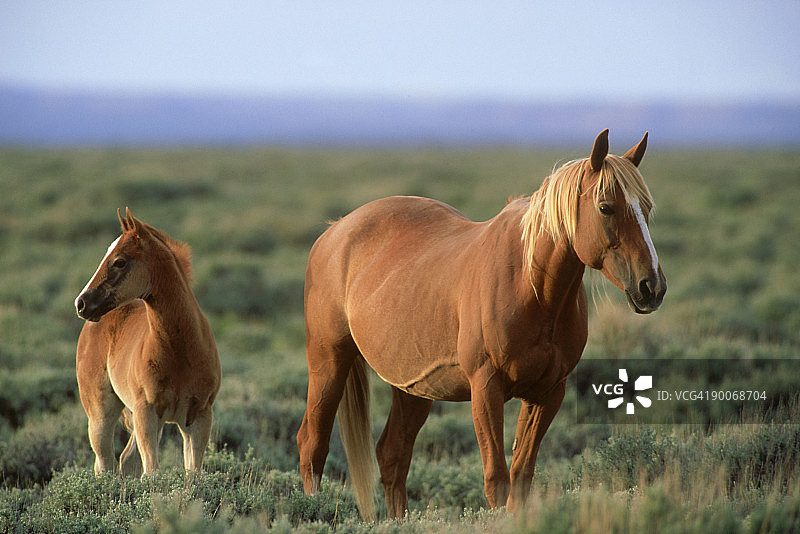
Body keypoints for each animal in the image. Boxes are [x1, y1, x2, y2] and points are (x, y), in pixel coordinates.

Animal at [74, 208, 221, 477]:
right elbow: (152, 473)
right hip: (101, 414)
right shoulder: (147, 412)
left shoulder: (199, 417)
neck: (180, 352)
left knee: (126, 460)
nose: (81, 303)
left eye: (119, 261)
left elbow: (193, 473)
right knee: (106, 464)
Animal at [297, 129, 666, 520]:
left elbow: (521, 476)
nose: (652, 287)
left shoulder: (548, 392)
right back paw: (311, 509)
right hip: (328, 362)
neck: (532, 286)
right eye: (605, 207)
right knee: (313, 444)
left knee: (392, 454)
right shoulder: (486, 388)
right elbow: (496, 480)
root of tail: (334, 232)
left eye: (647, 208)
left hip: (412, 387)